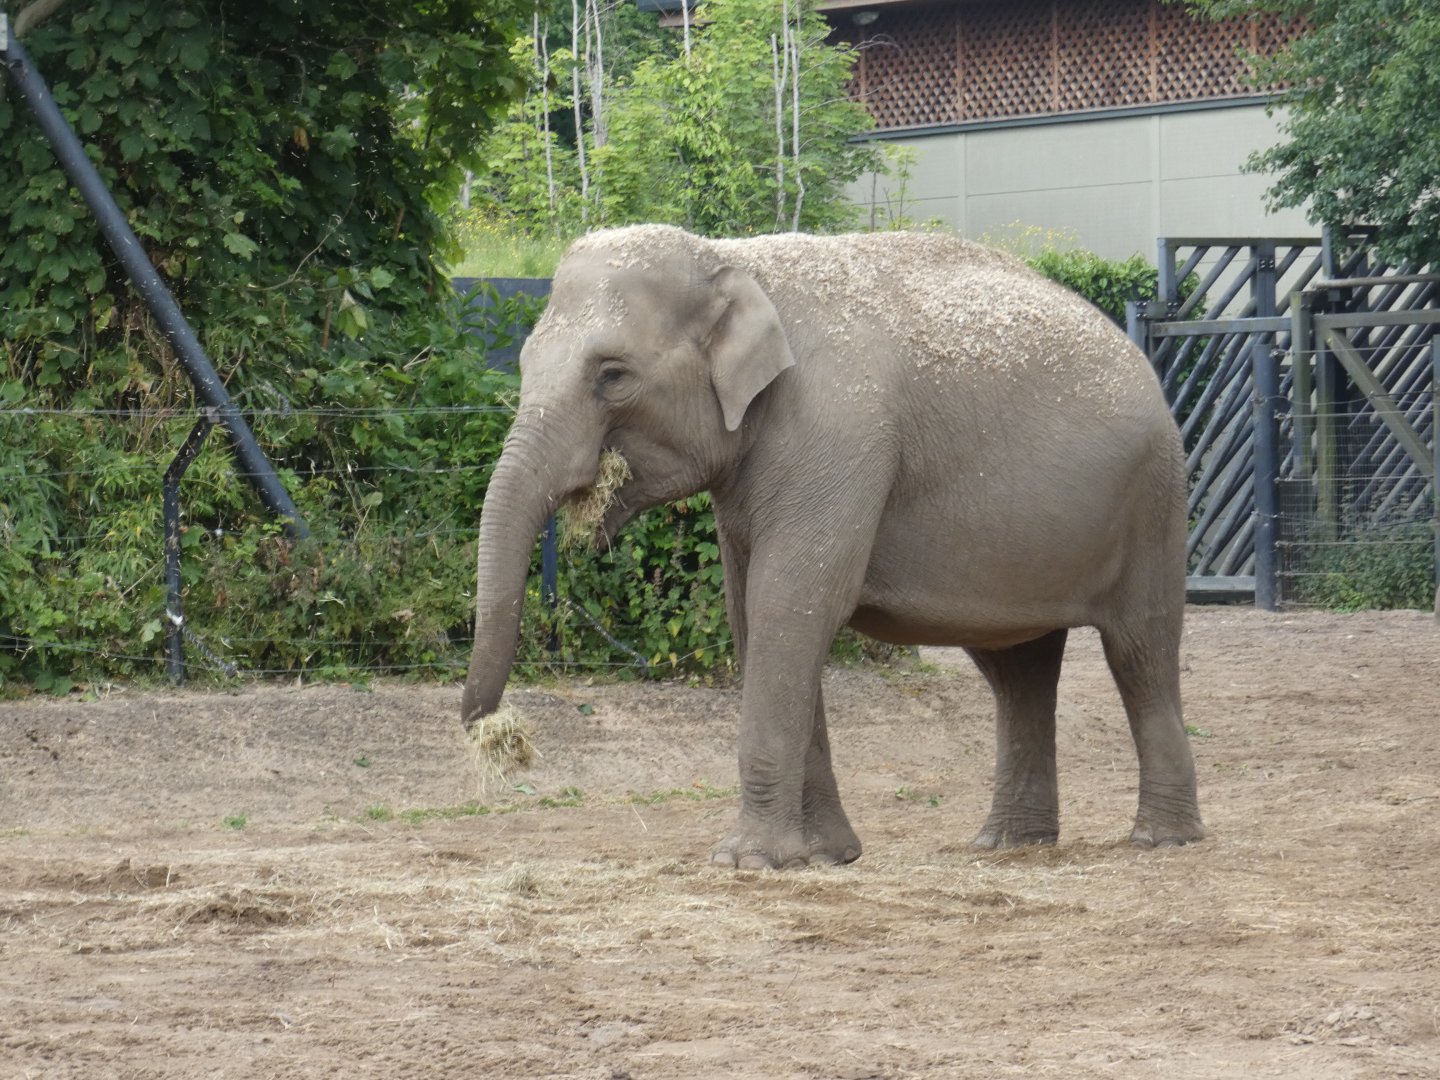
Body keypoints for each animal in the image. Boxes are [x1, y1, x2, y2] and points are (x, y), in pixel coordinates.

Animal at [462, 224, 1205, 869]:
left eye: (612, 375)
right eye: (522, 363)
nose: (482, 723)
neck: (733, 259)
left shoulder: (836, 436)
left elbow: (795, 603)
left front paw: (748, 862)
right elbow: (755, 615)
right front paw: (824, 857)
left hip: (1154, 501)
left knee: (1139, 652)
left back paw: (1160, 840)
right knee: (1017, 669)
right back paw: (1007, 845)